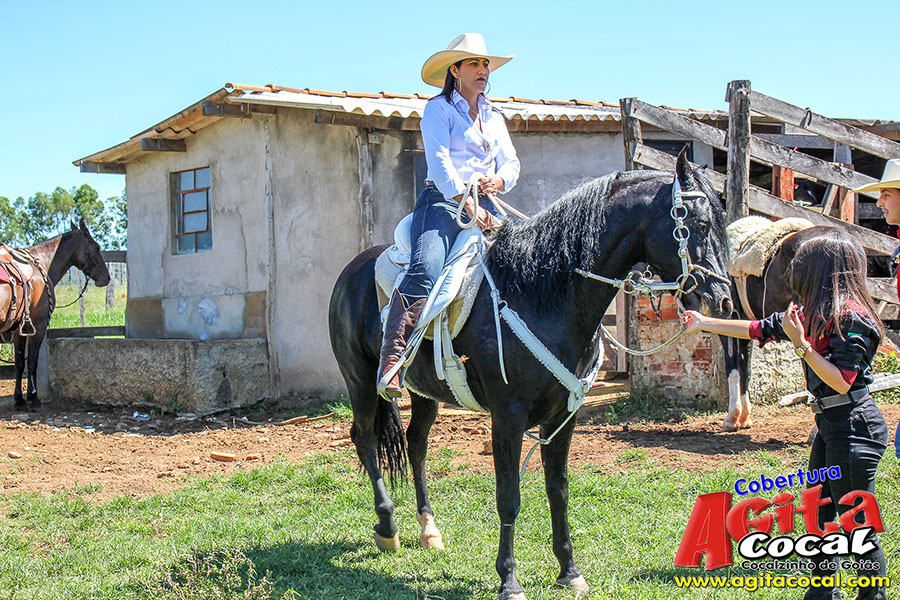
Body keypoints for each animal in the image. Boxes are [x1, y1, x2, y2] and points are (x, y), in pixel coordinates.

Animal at [1, 219, 111, 410]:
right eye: (96, 247)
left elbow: (20, 363)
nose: (106, 277)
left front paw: (19, 399)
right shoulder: (38, 326)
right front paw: (33, 398)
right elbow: (32, 361)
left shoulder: (19, 329)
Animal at [328, 150, 732, 599]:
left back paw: (428, 529)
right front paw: (509, 579)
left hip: (424, 392)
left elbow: (559, 488)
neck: (541, 292)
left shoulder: (565, 415)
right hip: (360, 381)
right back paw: (387, 527)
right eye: (696, 223)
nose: (723, 298)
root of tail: (356, 266)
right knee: (364, 438)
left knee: (416, 444)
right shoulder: (508, 415)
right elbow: (509, 496)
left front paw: (569, 570)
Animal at [720, 225, 861, 431]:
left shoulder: (728, 316)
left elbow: (732, 367)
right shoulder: (745, 320)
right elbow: (746, 367)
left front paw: (733, 417)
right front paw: (744, 417)